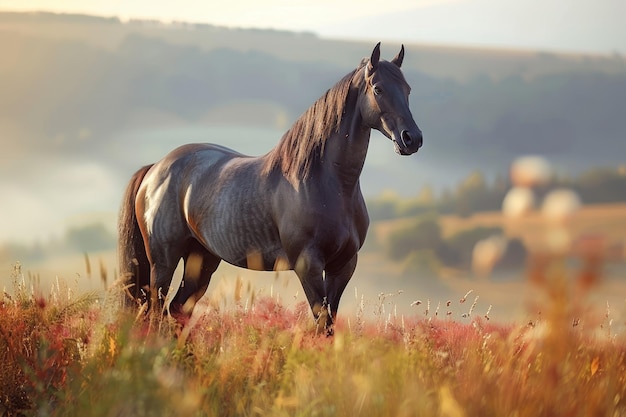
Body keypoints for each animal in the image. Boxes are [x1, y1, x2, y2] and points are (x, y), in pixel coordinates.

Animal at [118, 43, 420, 332]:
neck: (327, 183)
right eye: (378, 88)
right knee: (155, 313)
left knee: (176, 311)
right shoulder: (308, 265)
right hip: (163, 261)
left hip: (201, 260)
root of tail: (156, 169)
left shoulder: (343, 266)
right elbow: (321, 323)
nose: (412, 139)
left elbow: (329, 324)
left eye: (407, 90)